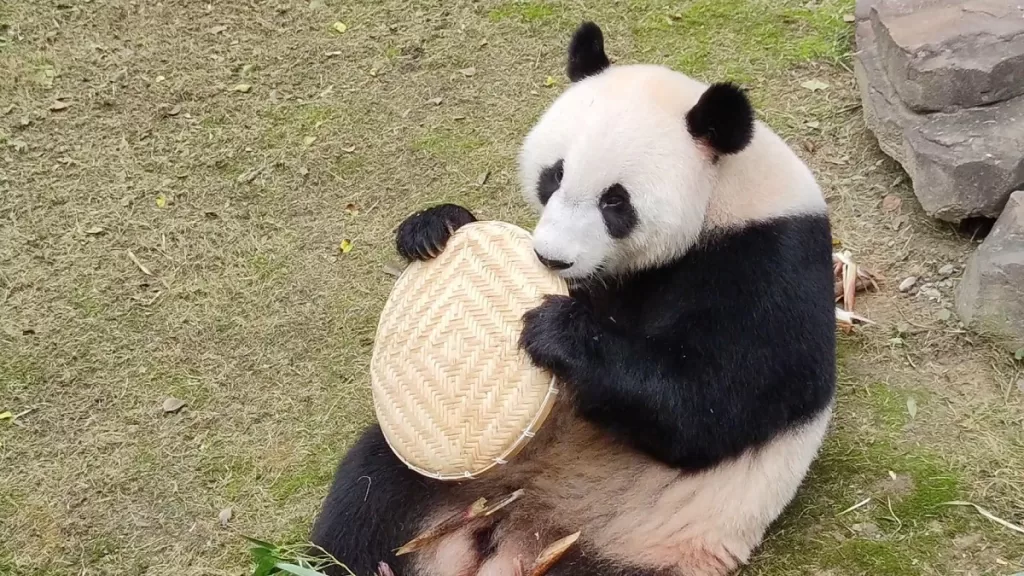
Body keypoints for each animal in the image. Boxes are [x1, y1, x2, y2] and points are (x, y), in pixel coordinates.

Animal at [311, 21, 836, 576]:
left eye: (616, 201)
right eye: (554, 174)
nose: (551, 257)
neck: (726, 193)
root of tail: (514, 532)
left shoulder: (769, 263)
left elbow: (706, 404)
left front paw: (557, 330)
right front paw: (436, 226)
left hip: (632, 545)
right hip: (452, 480)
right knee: (368, 495)